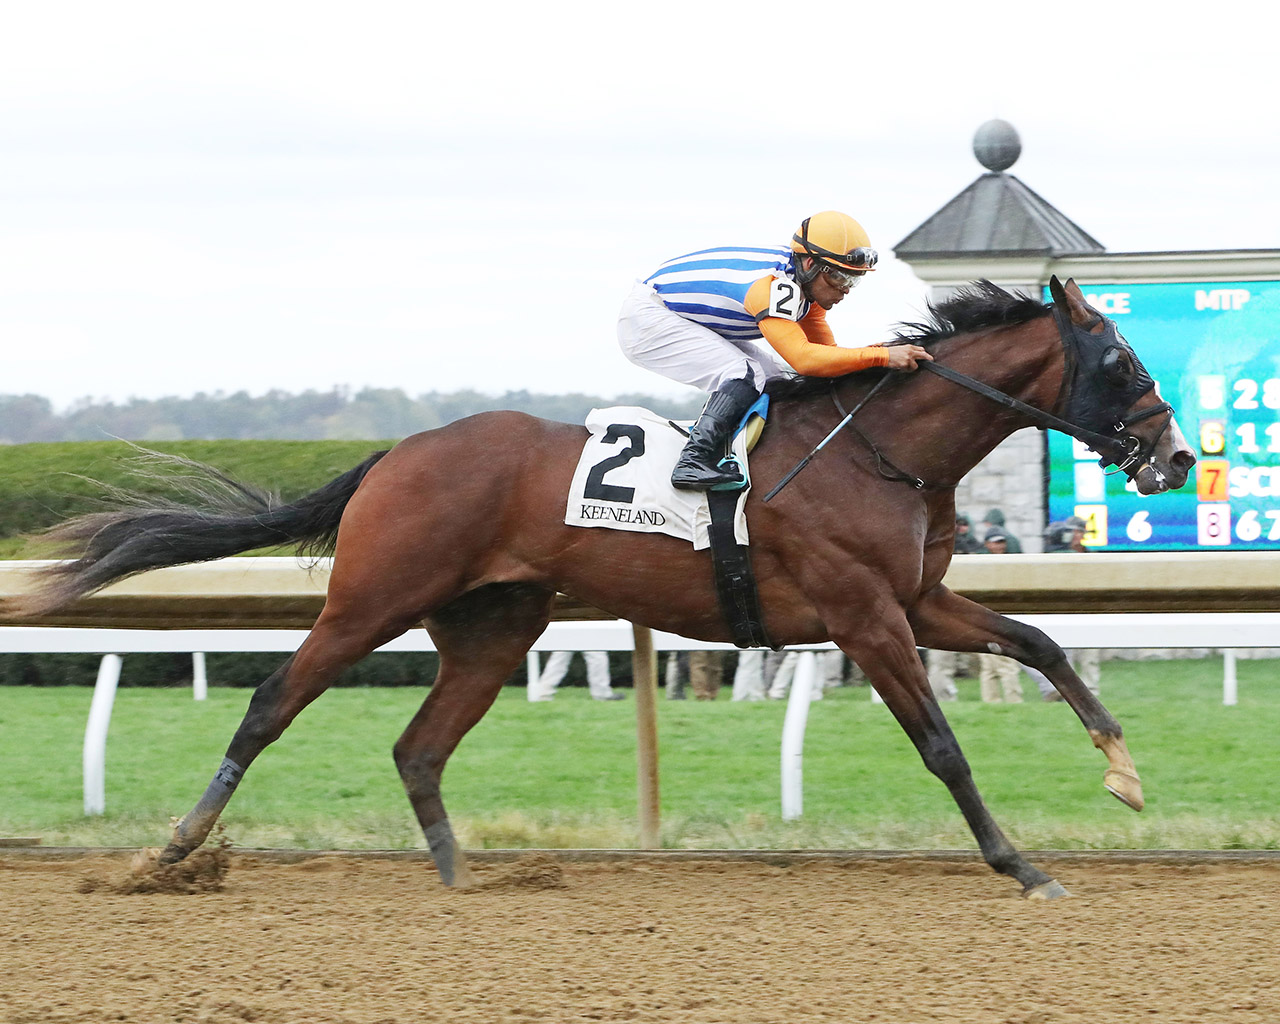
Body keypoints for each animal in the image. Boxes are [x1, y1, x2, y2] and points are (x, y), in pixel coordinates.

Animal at [10, 277, 1192, 896]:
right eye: (1123, 362)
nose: (1178, 459)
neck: (882, 450)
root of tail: (395, 453)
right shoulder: (864, 617)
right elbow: (942, 746)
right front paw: (1019, 863)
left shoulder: (915, 603)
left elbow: (1040, 642)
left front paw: (1125, 774)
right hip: (371, 601)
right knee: (270, 702)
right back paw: (171, 850)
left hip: (493, 626)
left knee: (419, 745)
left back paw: (458, 876)